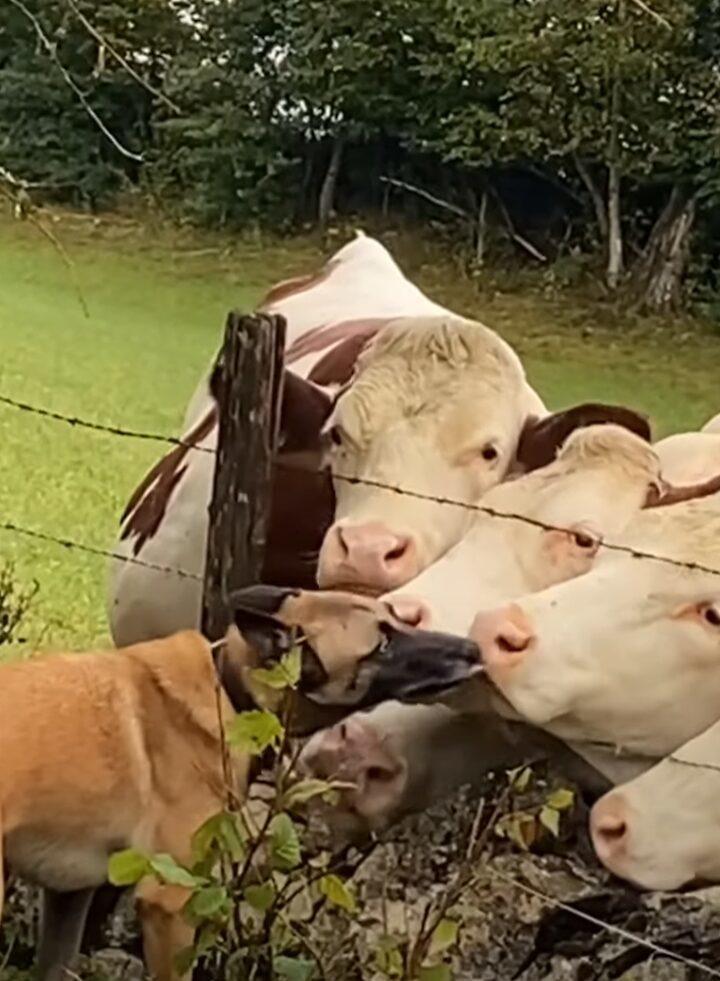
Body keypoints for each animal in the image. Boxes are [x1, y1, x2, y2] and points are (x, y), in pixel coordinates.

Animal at [1, 584, 484, 976]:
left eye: (398, 617)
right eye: (382, 645)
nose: (475, 649)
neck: (230, 689)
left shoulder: (70, 894)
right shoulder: (168, 905)